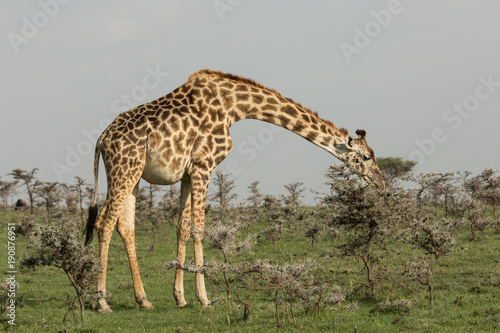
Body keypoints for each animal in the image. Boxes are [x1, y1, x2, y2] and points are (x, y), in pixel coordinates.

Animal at [84, 67, 384, 312]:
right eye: (366, 157)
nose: (381, 184)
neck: (234, 107)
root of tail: (102, 138)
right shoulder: (204, 166)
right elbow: (199, 229)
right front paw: (204, 299)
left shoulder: (188, 174)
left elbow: (182, 228)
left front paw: (180, 298)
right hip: (124, 171)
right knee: (105, 223)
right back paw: (102, 303)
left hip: (132, 175)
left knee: (126, 226)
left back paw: (143, 300)